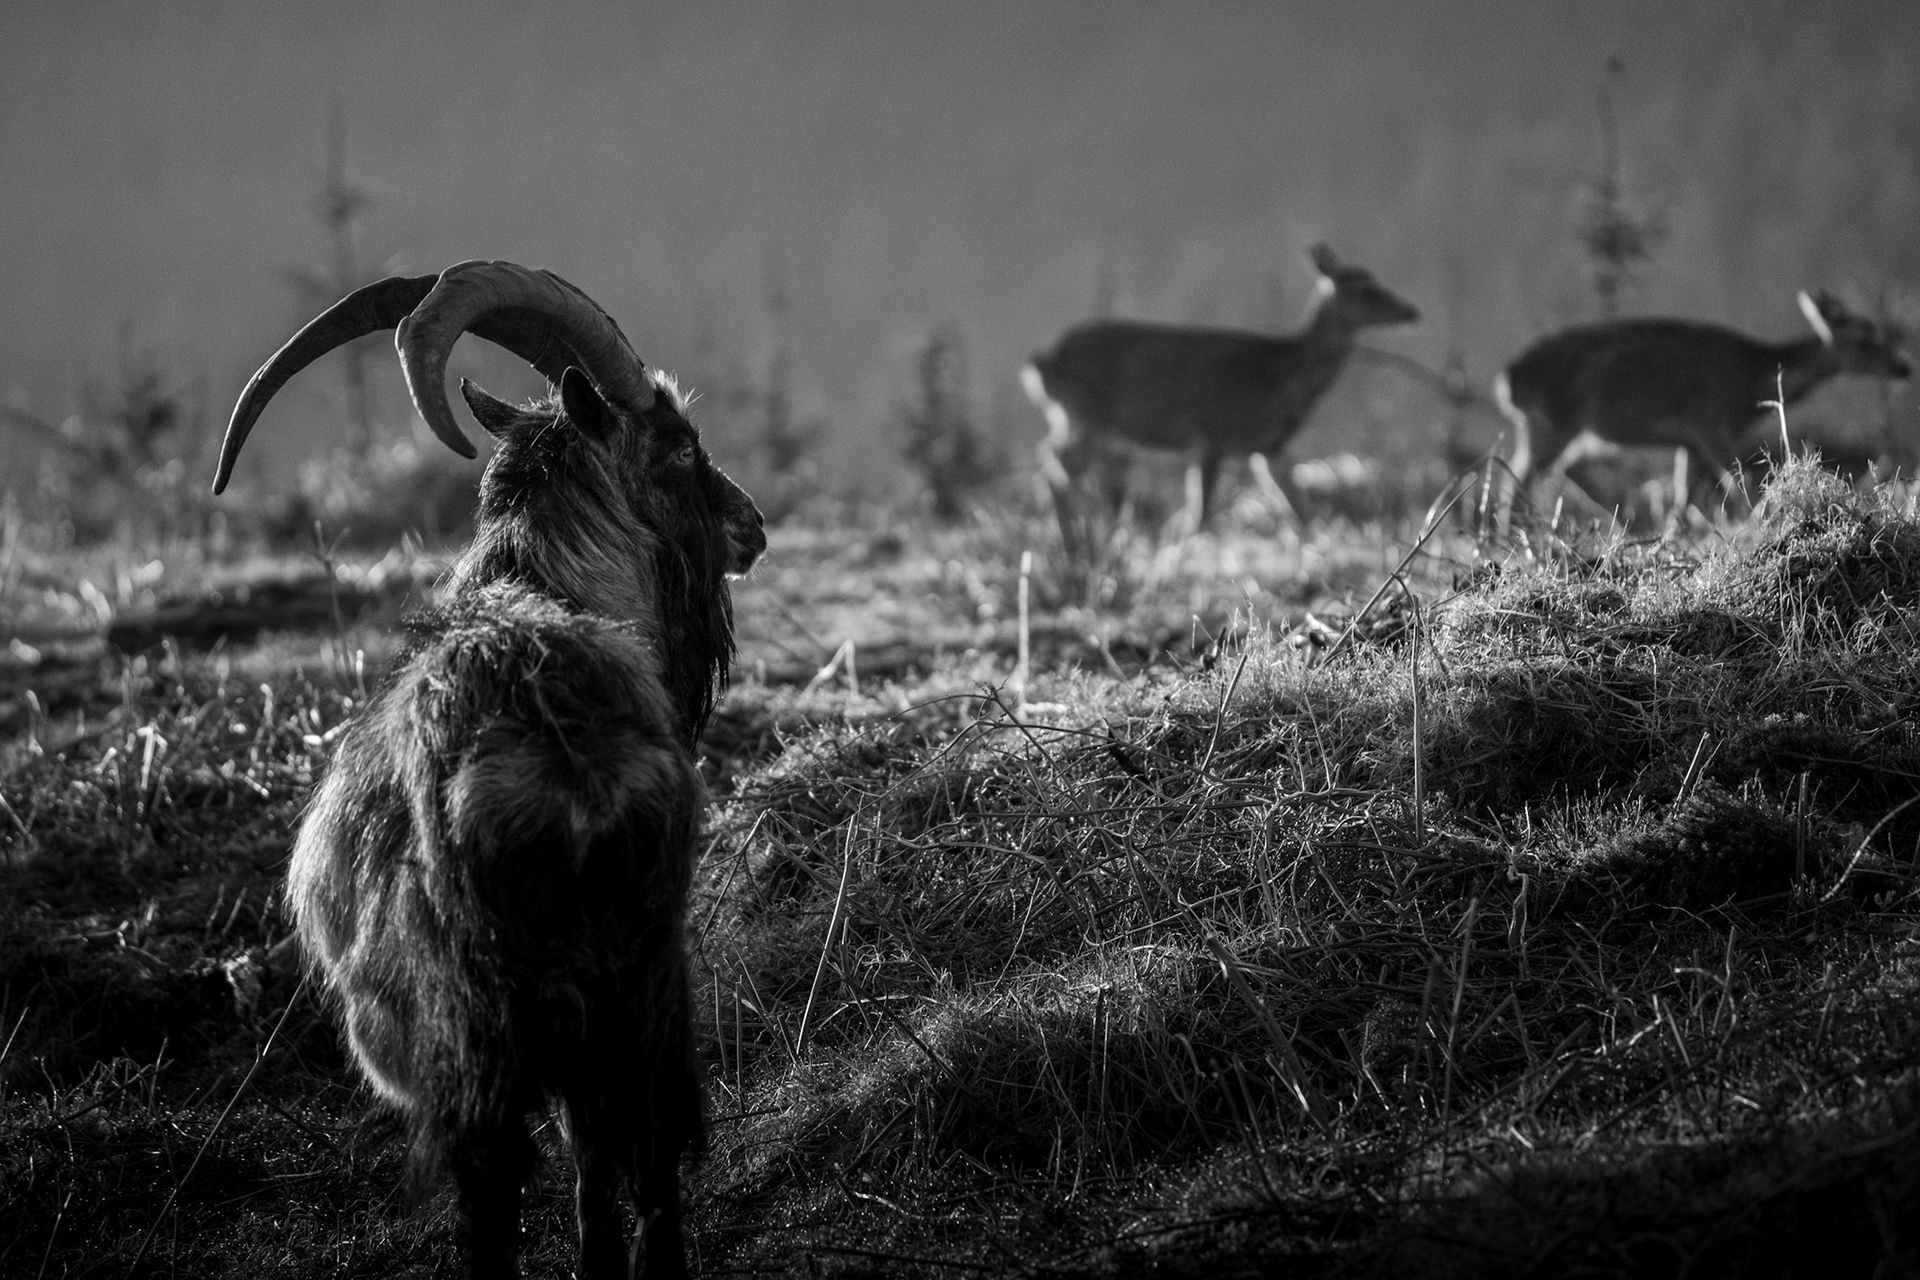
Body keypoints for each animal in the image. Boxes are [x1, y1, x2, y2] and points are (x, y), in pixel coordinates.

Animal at [214, 260, 766, 1279]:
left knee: (505, 1183)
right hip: (640, 984)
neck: (542, 588)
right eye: (679, 449)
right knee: (640, 1157)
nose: (752, 526)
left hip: (483, 1027)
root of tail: (570, 764)